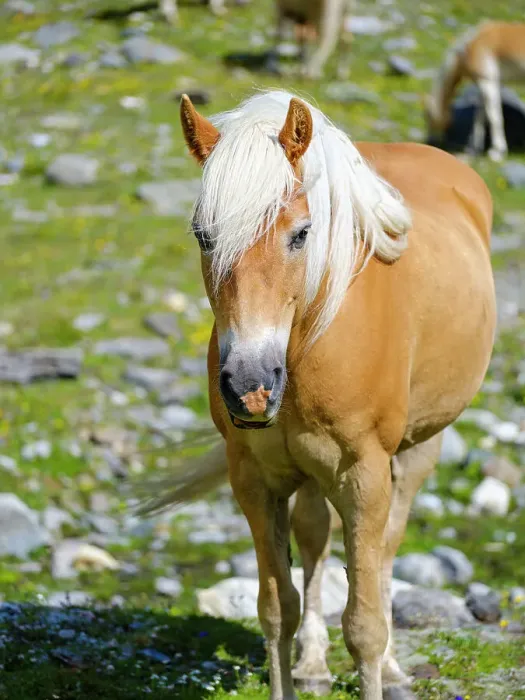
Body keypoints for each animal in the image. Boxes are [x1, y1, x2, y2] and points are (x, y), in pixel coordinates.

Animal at [146, 90, 496, 699]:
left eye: (302, 233)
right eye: (204, 236)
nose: (250, 387)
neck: (310, 338)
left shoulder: (364, 476)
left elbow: (364, 622)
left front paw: (377, 666)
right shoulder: (254, 479)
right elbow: (275, 609)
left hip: (417, 448)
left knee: (385, 552)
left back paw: (394, 668)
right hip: (308, 471)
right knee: (314, 541)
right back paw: (312, 662)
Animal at [424, 20, 525, 161]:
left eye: (427, 116)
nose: (429, 142)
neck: (470, 46)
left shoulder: (488, 84)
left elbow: (494, 118)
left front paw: (497, 152)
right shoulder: (484, 88)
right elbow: (480, 118)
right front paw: (474, 149)